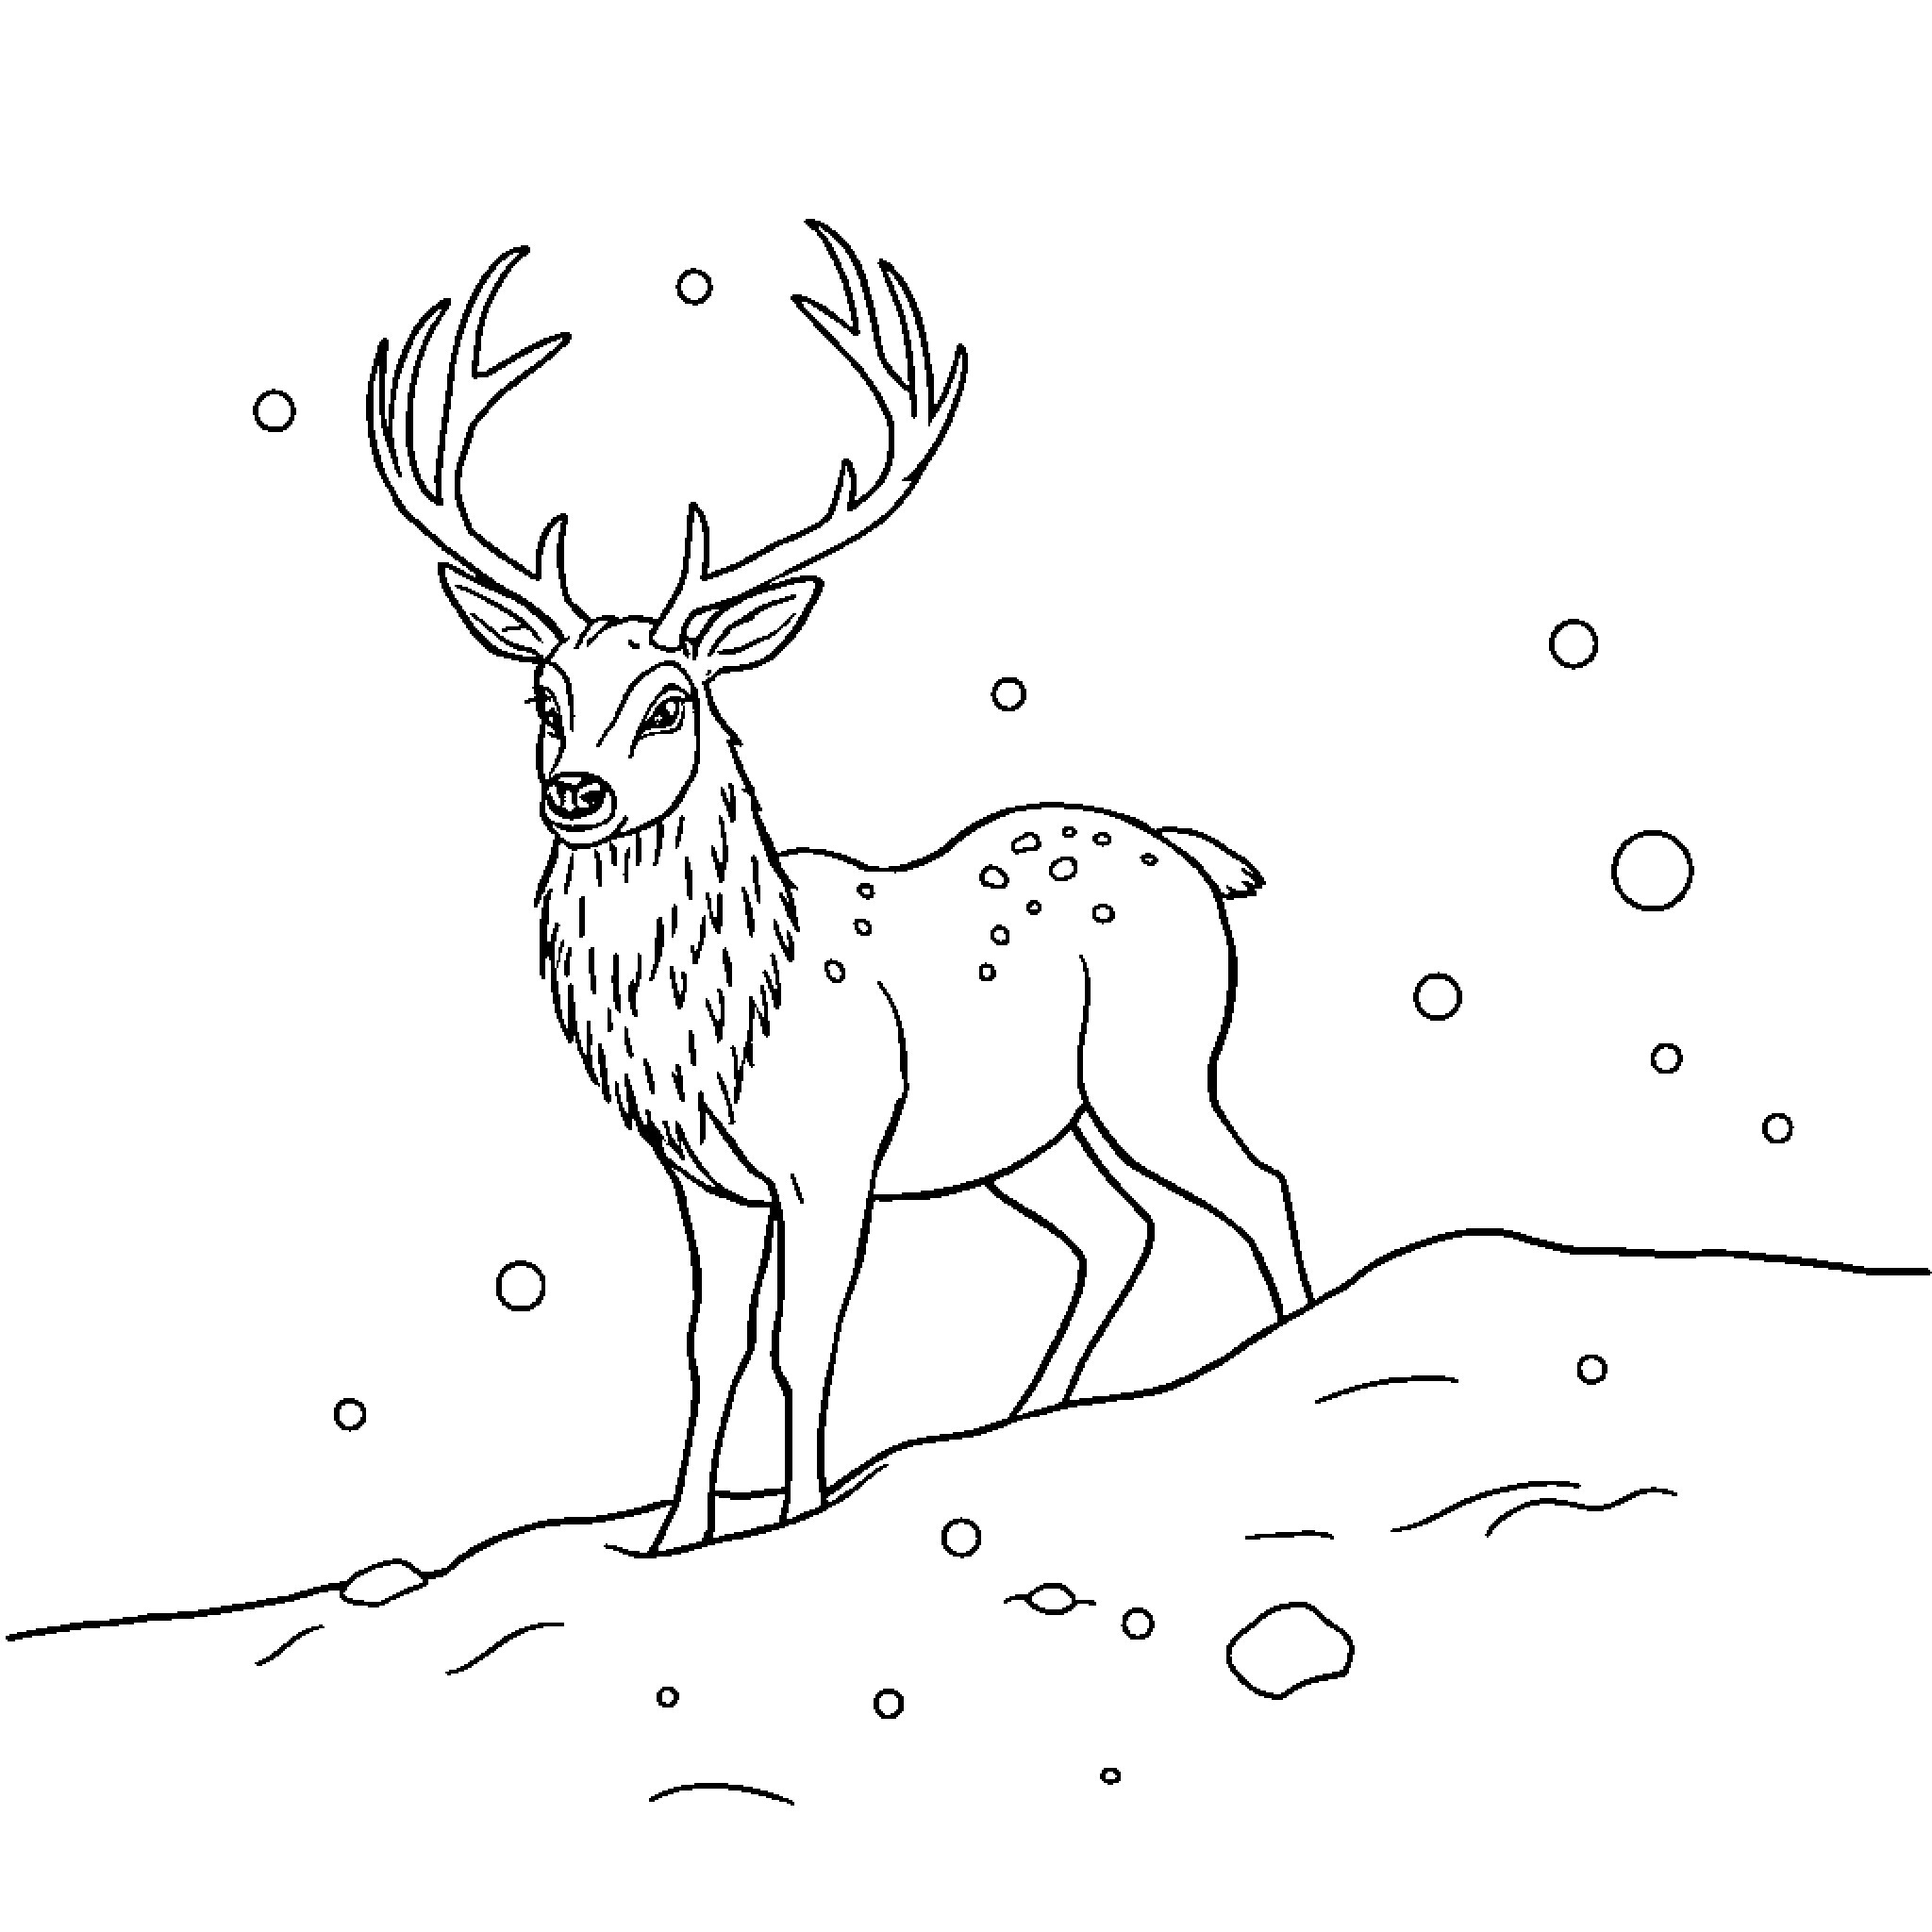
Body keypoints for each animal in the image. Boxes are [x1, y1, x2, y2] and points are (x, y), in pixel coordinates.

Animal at [367, 221, 1311, 1553]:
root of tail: (1200, 859)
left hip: (1156, 1061)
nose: (576, 793)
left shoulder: (833, 1156)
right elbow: (711, 1345)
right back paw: (1016, 1421)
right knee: (1117, 1229)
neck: (721, 1015)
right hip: (1026, 1131)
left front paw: (796, 1515)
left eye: (671, 702)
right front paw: (672, 1535)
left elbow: (802, 1344)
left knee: (1252, 1185)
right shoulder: (703, 1178)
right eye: (544, 697)